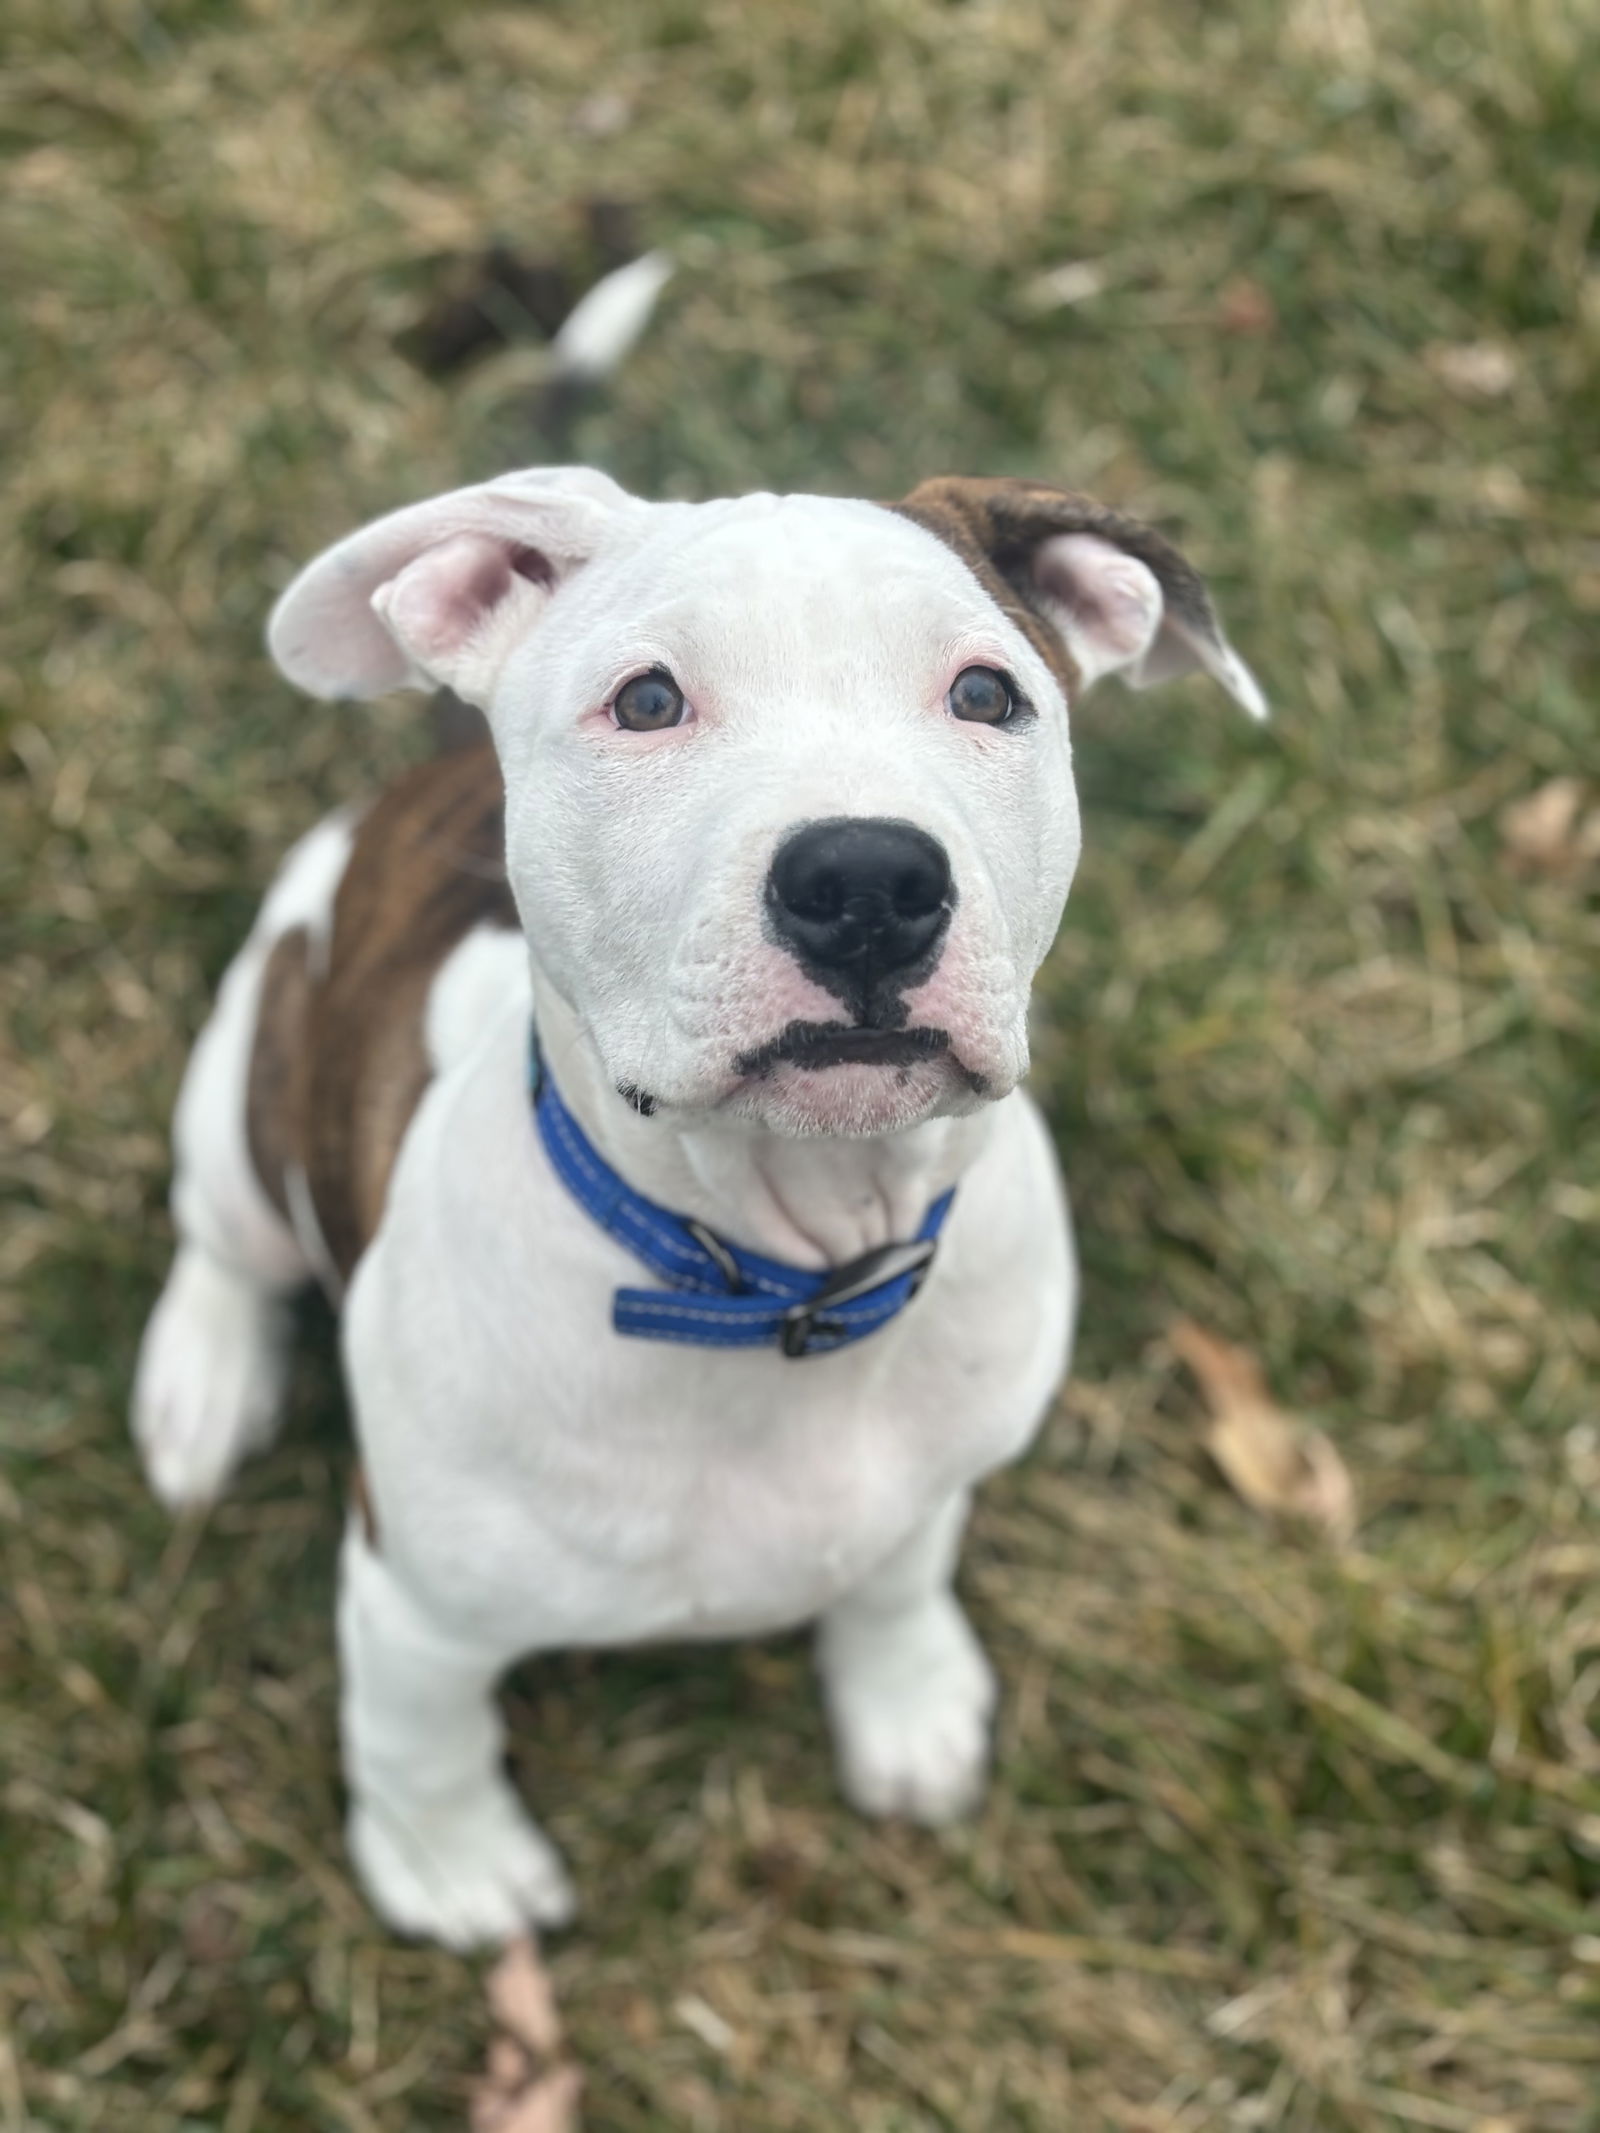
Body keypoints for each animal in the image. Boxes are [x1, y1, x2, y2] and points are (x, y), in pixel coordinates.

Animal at [131, 471, 1262, 1953]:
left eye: (986, 693)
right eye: (650, 701)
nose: (867, 883)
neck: (780, 1275)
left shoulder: (931, 1471)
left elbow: (898, 1573)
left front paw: (907, 1699)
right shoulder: (415, 1597)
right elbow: (420, 1735)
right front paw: (453, 1866)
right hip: (243, 1078)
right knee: (225, 1239)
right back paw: (201, 1386)